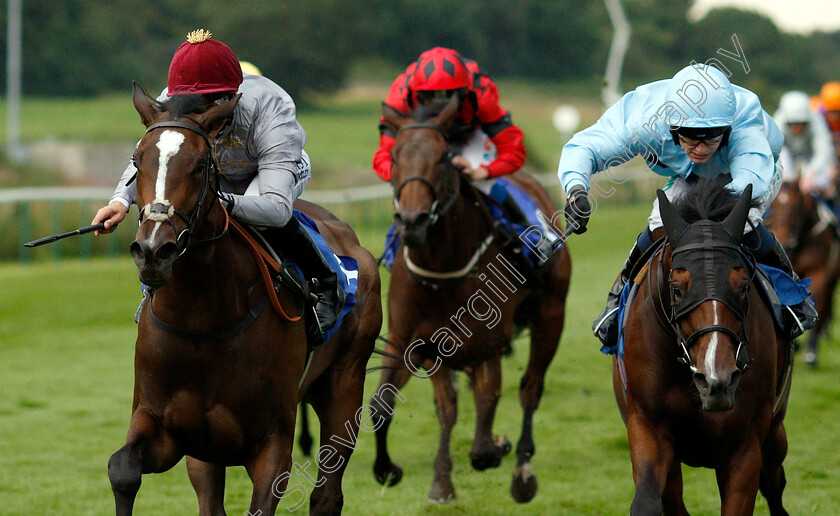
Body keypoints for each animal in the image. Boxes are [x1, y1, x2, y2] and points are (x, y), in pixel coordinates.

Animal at [106, 82, 382, 512]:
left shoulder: (272, 443)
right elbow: (122, 469)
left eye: (200, 165)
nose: (153, 250)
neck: (201, 320)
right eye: (137, 160)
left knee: (327, 494)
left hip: (345, 384)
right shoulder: (167, 426)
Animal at [368, 94, 572, 502]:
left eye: (443, 157)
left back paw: (522, 469)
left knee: (530, 388)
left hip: (551, 315)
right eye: (394, 156)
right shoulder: (411, 341)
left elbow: (482, 435)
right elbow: (391, 405)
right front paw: (399, 472)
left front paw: (497, 447)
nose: (412, 221)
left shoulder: (486, 346)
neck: (442, 269)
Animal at [616, 183, 796, 512]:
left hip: (775, 429)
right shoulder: (647, 427)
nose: (717, 379)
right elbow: (648, 501)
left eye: (744, 287)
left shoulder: (745, 448)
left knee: (774, 482)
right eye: (676, 289)